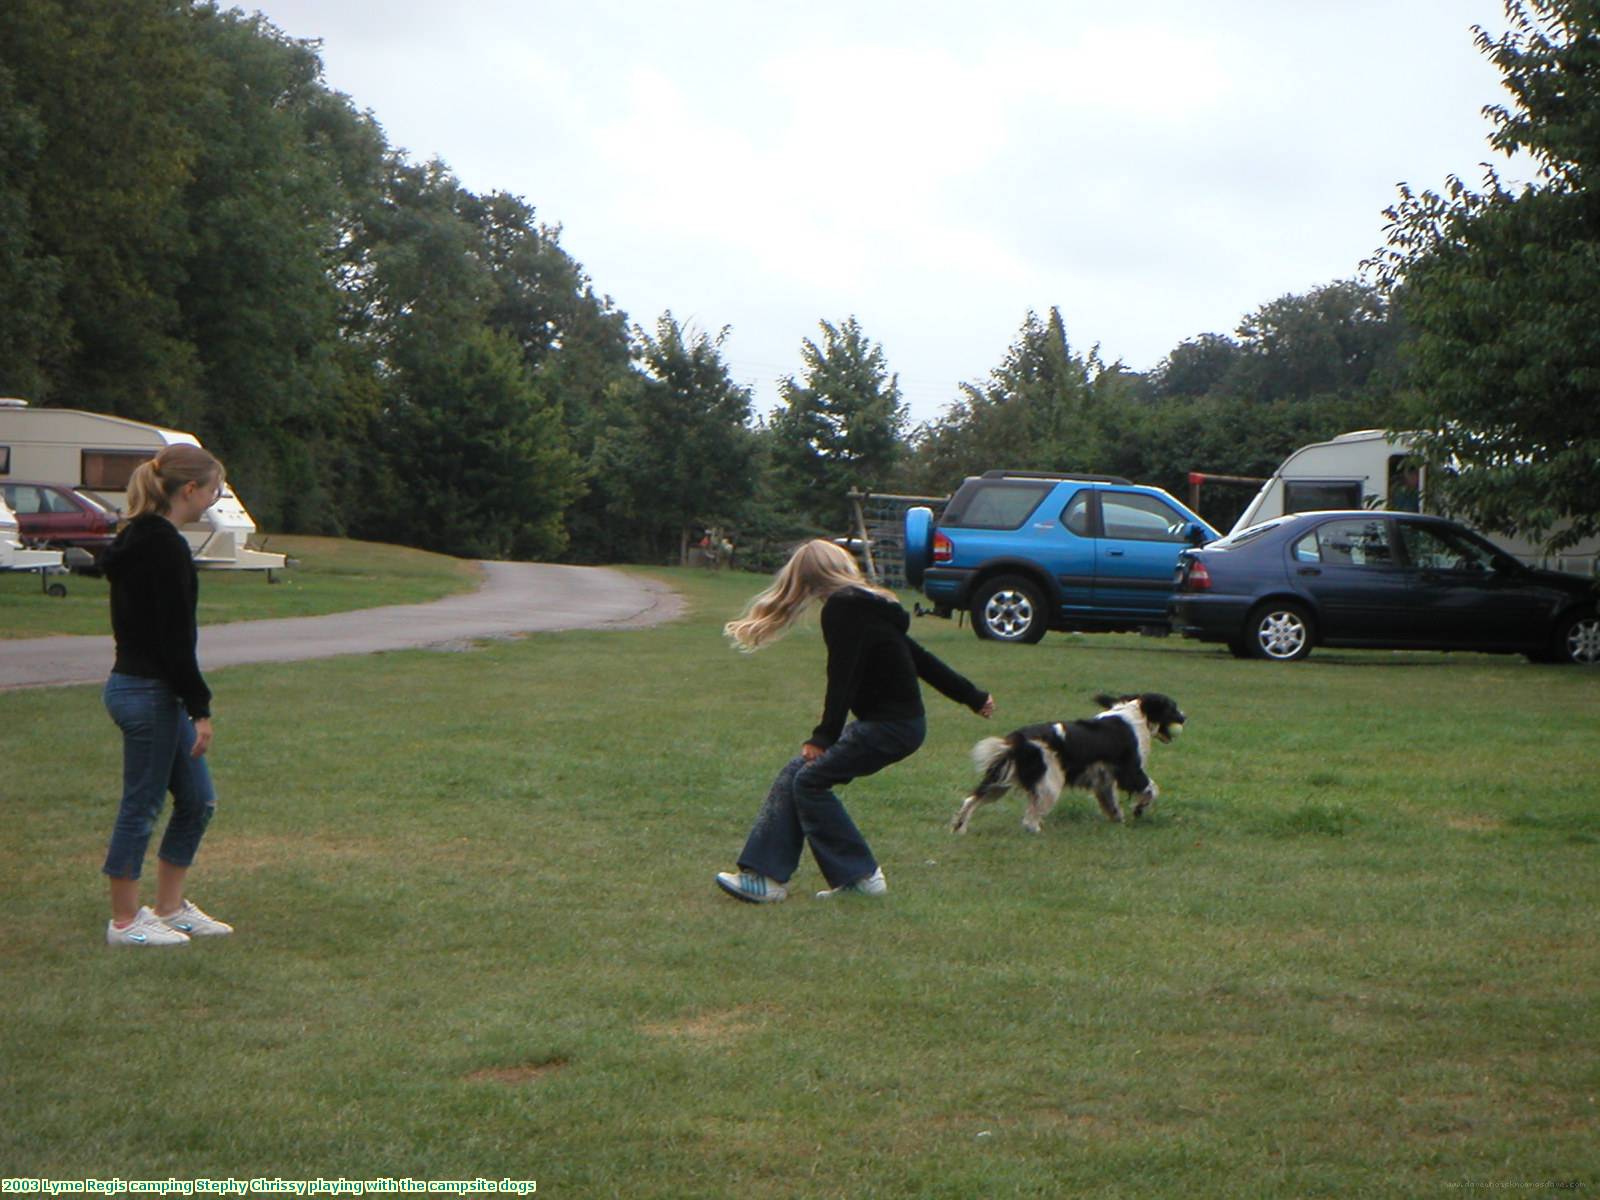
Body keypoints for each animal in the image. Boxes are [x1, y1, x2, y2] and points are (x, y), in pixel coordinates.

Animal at [947, 694, 1190, 838]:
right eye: (1173, 708)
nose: (1185, 717)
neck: (1134, 716)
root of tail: (1017, 740)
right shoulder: (1131, 770)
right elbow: (1152, 788)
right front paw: (1139, 808)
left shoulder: (1104, 779)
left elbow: (1111, 802)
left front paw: (1118, 819)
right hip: (1049, 783)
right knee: (1029, 819)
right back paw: (1037, 831)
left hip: (999, 780)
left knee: (971, 799)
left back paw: (960, 828)